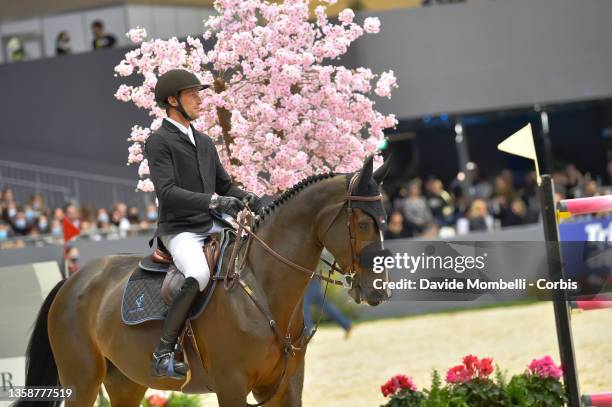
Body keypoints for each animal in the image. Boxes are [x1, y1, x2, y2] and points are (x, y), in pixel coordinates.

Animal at [19, 155, 394, 404]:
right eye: (363, 224)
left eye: (384, 221)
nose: (379, 291)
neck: (262, 290)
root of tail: (74, 280)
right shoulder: (231, 385)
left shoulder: (286, 387)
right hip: (81, 382)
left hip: (126, 381)